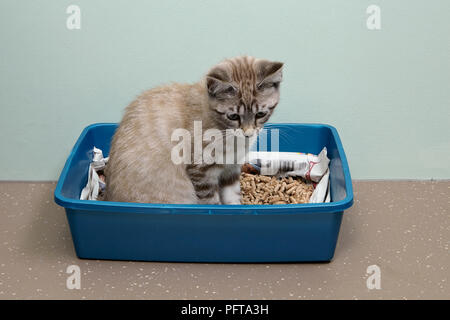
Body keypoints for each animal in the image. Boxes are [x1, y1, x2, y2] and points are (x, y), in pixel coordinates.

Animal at [103, 56, 284, 204]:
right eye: (233, 116)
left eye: (260, 114)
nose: (248, 133)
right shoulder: (201, 172)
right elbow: (212, 202)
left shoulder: (231, 170)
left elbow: (232, 198)